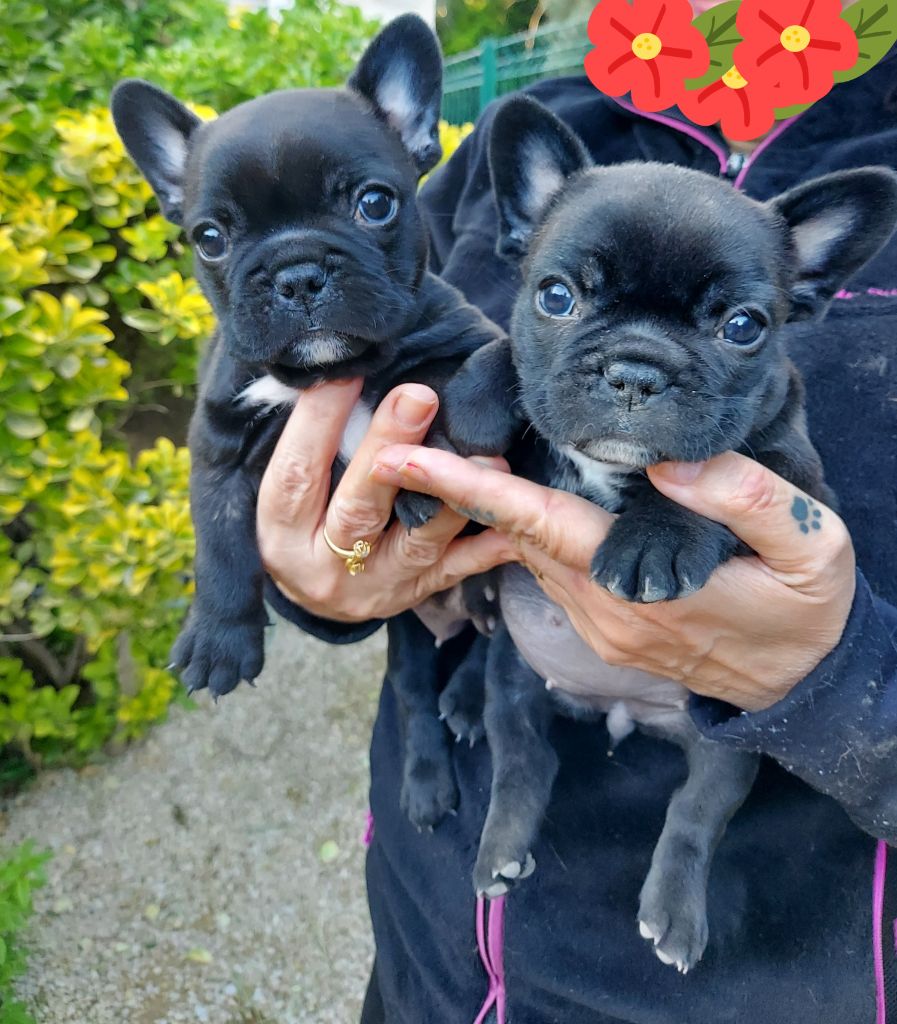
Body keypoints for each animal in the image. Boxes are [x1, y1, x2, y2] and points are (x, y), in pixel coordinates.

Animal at [111, 15, 506, 830]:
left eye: (375, 204)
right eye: (209, 238)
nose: (297, 272)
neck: (331, 374)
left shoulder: (468, 336)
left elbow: (447, 383)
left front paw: (423, 470)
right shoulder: (221, 442)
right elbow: (219, 542)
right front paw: (219, 636)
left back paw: (467, 699)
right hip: (409, 641)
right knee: (417, 696)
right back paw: (427, 781)